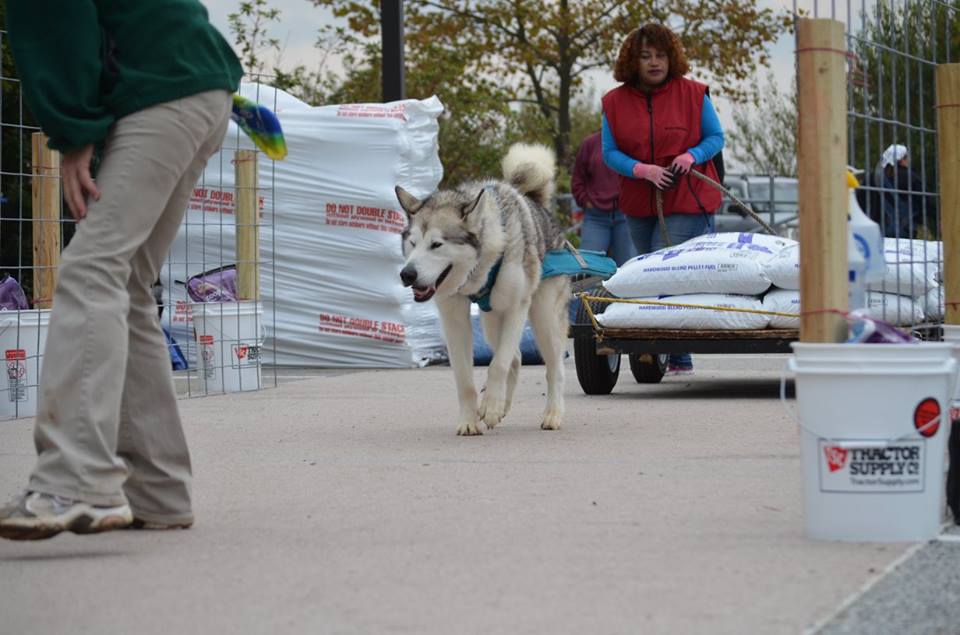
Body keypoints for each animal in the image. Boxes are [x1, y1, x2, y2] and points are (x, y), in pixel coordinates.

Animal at [396, 143, 568, 438]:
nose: (407, 274)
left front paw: (490, 406)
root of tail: (535, 202)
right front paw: (471, 419)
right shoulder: (453, 318)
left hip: (542, 316)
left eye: (436, 244)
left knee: (553, 366)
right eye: (413, 243)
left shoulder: (517, 308)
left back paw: (552, 414)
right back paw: (501, 406)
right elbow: (466, 378)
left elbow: (497, 364)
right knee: (516, 357)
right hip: (490, 321)